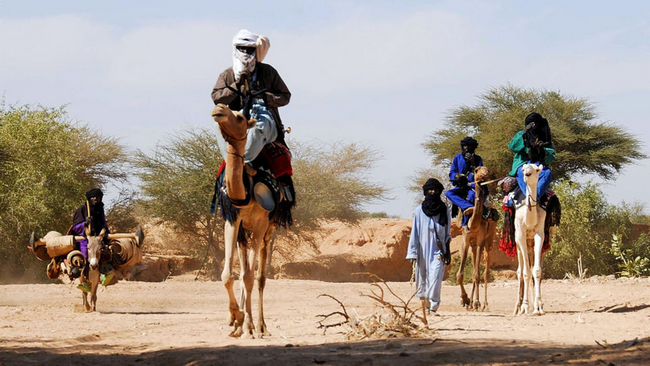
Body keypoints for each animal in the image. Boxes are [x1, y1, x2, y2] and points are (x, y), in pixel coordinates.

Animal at [210, 102, 276, 338]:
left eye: (239, 118)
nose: (218, 109)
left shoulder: (261, 223)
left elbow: (250, 277)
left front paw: (248, 324)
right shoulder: (232, 221)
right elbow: (228, 275)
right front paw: (236, 318)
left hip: (269, 230)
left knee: (259, 277)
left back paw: (261, 326)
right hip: (243, 233)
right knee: (244, 271)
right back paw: (241, 323)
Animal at [456, 167, 496, 310]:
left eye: (486, 169)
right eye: (477, 170)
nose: (485, 174)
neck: (473, 223)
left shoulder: (480, 240)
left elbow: (477, 274)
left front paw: (476, 302)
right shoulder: (465, 240)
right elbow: (460, 274)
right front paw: (465, 300)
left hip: (489, 240)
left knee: (485, 273)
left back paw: (483, 304)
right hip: (473, 246)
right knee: (474, 266)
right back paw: (472, 303)